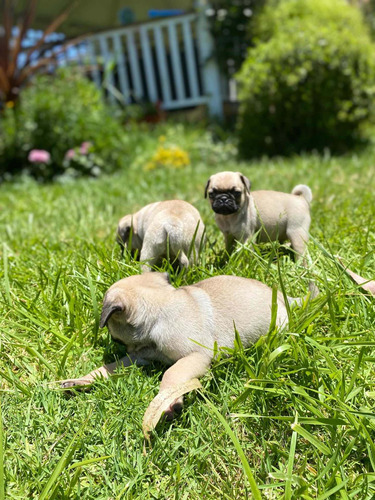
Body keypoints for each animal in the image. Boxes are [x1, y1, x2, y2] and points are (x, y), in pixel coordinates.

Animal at [62, 272, 314, 432]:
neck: (161, 307)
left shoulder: (196, 356)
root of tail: (283, 297)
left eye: (115, 337)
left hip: (279, 325)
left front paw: (167, 402)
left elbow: (171, 373)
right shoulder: (138, 356)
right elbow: (108, 367)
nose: (120, 344)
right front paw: (81, 380)